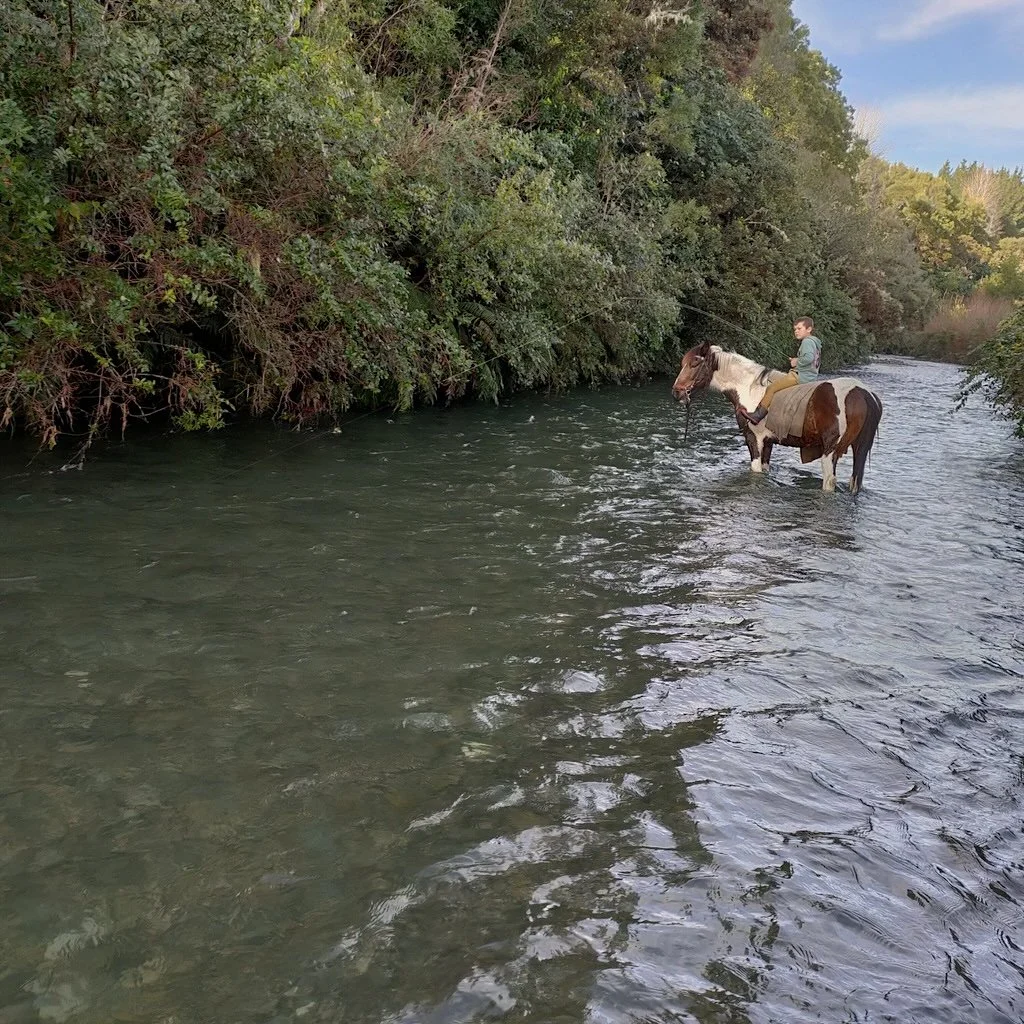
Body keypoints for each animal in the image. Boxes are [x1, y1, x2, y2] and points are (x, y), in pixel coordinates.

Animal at [671, 341, 883, 493]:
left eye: (694, 363)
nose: (676, 392)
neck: (749, 388)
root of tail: (865, 394)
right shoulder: (768, 442)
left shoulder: (754, 438)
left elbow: (755, 469)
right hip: (859, 449)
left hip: (830, 452)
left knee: (830, 482)